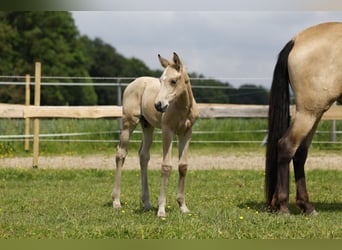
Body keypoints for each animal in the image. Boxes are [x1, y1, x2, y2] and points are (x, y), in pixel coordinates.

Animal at [112, 52, 198, 217]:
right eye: (160, 80)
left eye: (173, 81)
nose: (158, 105)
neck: (182, 108)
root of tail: (133, 83)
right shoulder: (167, 130)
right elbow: (166, 166)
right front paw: (161, 209)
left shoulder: (186, 132)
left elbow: (183, 166)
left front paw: (183, 206)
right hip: (129, 122)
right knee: (121, 154)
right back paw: (116, 201)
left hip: (147, 126)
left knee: (143, 155)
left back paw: (146, 203)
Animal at [266, 22, 342, 215]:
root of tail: (296, 40)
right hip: (309, 112)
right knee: (286, 146)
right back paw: (283, 206)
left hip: (315, 112)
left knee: (300, 153)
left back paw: (306, 206)